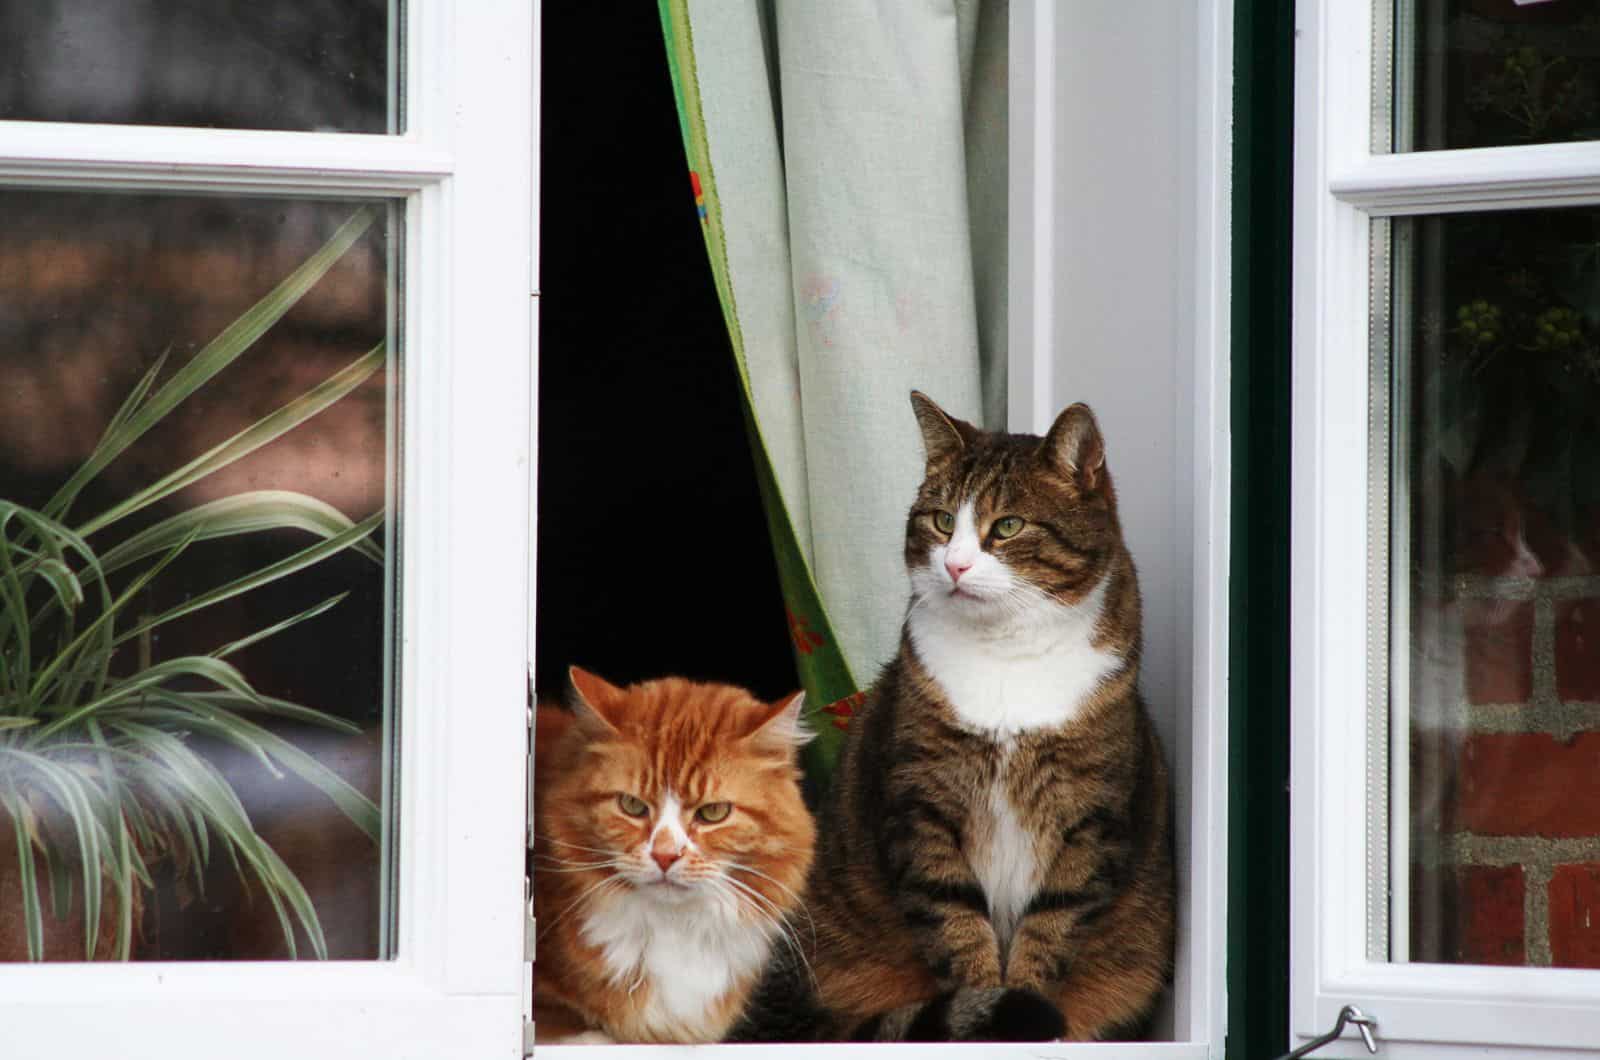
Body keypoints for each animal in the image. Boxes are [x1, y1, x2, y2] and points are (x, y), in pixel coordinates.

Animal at [732, 392, 1177, 1043]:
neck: (1006, 654)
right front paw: (992, 1014)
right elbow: (955, 924)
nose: (956, 566)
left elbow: (1051, 926)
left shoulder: (1089, 817)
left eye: (1008, 526)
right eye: (943, 521)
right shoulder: (923, 804)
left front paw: (1026, 1011)